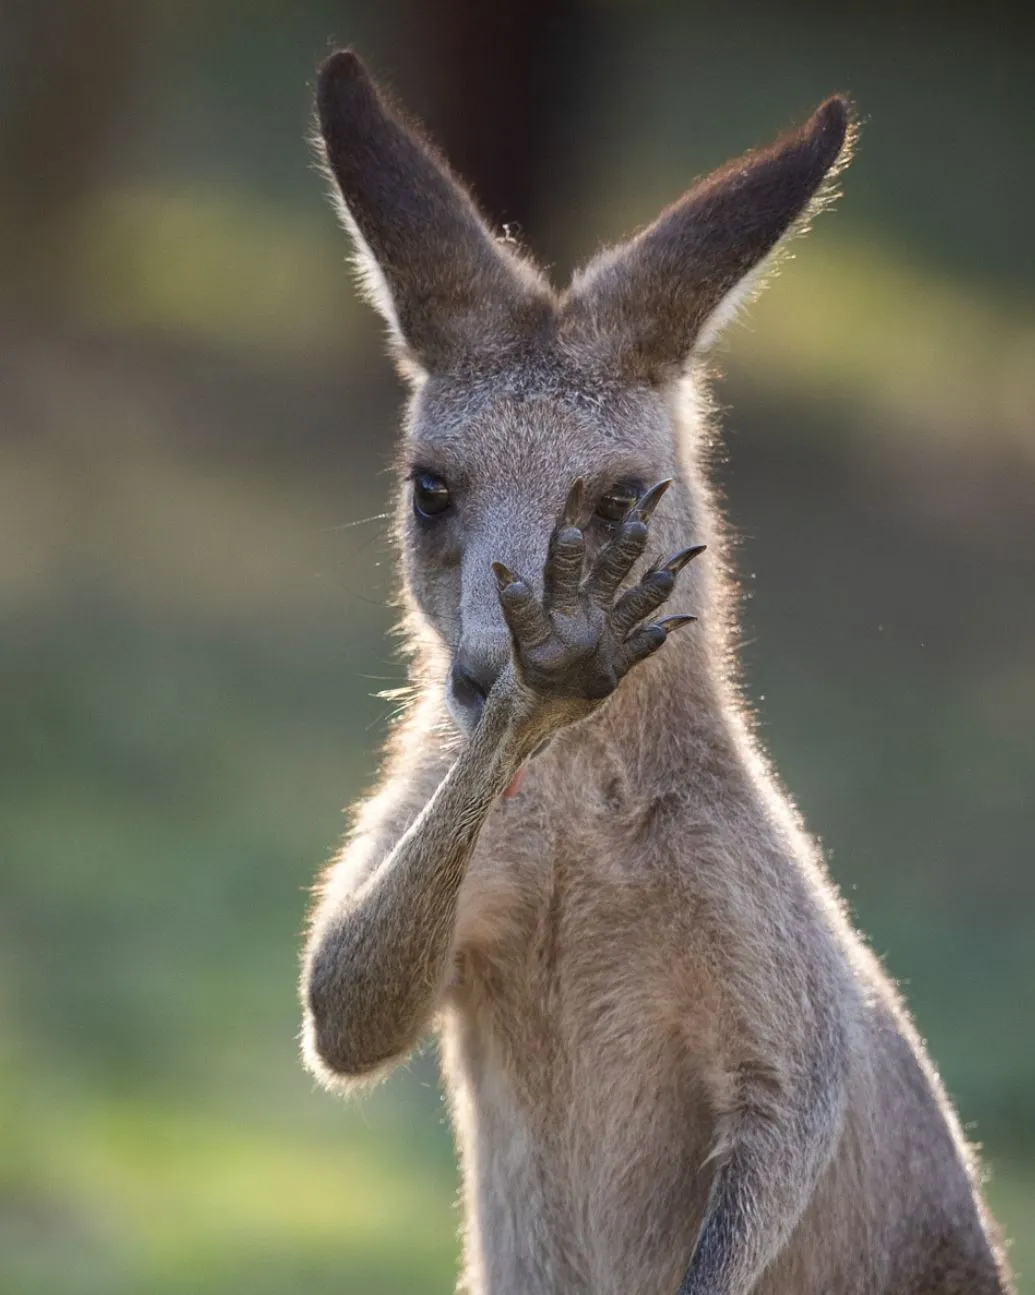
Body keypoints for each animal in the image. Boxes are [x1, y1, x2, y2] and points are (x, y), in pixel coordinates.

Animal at [299, 49, 1015, 1295]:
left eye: (623, 502)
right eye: (431, 487)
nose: (484, 673)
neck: (574, 814)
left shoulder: (787, 1001)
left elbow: (782, 1135)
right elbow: (343, 1004)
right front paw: (543, 682)